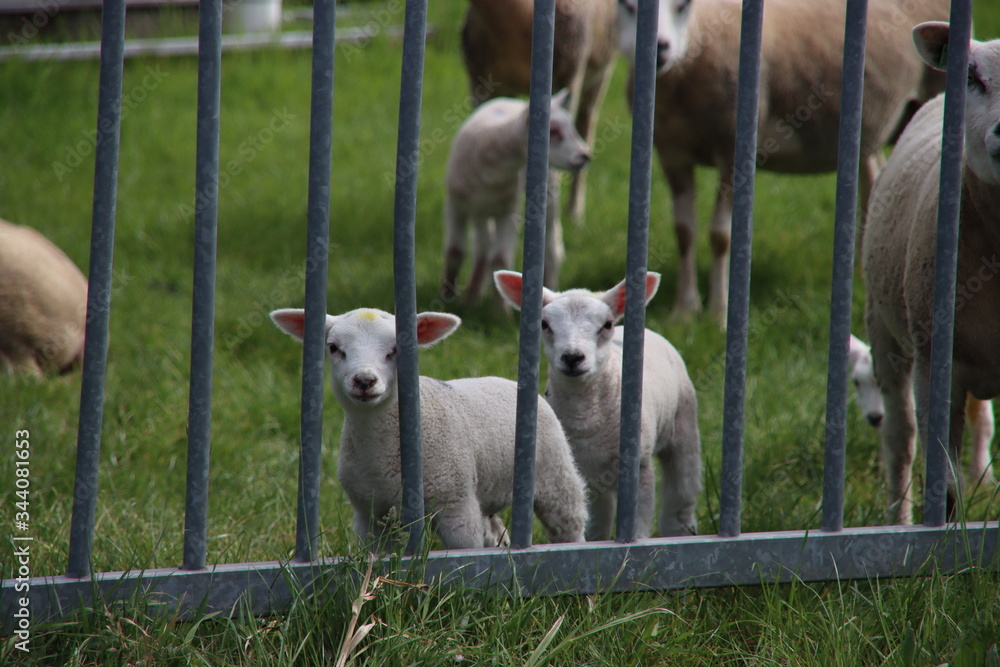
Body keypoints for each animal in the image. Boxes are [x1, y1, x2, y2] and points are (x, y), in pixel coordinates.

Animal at [269, 307, 587, 549]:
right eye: (334, 348)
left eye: (396, 350)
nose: (364, 381)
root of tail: (505, 380)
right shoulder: (368, 513)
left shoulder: (456, 507)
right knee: (496, 532)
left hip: (555, 476)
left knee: (570, 523)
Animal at [441, 90, 591, 304]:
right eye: (553, 131)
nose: (585, 156)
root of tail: (513, 101)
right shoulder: (455, 205)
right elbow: (454, 251)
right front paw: (447, 297)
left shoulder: (509, 210)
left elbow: (500, 258)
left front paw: (499, 310)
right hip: (480, 210)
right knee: (483, 245)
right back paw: (473, 295)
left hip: (546, 194)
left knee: (552, 247)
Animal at [494, 269, 701, 540]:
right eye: (544, 324)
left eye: (607, 324)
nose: (572, 357)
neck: (586, 418)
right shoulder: (583, 470)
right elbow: (595, 520)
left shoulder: (640, 466)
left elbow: (640, 519)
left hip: (684, 421)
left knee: (682, 489)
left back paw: (680, 530)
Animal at [617, 0, 950, 324]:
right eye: (628, 6)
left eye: (683, 6)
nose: (660, 47)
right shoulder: (672, 155)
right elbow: (684, 232)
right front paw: (685, 311)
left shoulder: (731, 154)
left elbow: (720, 236)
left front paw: (718, 313)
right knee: (873, 182)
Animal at [861, 22, 1000, 524]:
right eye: (973, 77)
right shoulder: (936, 361)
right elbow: (946, 482)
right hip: (884, 331)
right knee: (899, 441)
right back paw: (897, 520)